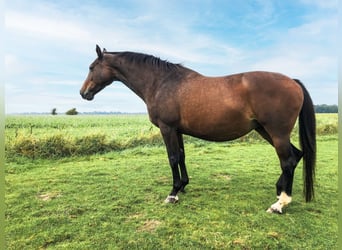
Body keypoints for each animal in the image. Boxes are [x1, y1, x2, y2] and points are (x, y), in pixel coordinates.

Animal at [80, 45, 316, 213]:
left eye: (91, 67)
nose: (83, 93)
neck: (162, 82)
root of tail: (293, 82)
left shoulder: (167, 128)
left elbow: (173, 158)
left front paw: (173, 193)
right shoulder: (177, 130)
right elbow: (181, 156)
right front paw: (183, 185)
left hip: (277, 133)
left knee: (288, 161)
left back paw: (280, 204)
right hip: (266, 131)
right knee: (296, 155)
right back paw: (279, 192)